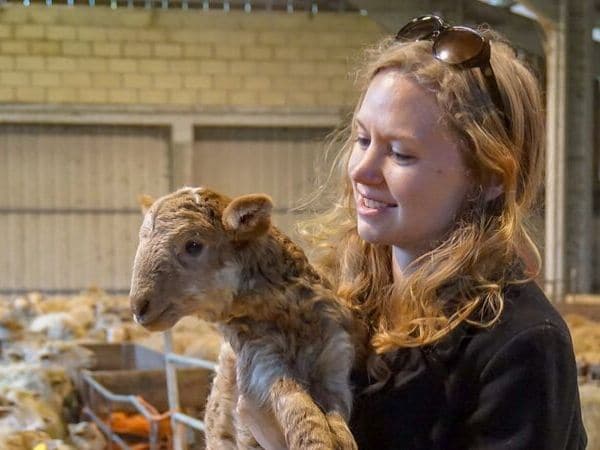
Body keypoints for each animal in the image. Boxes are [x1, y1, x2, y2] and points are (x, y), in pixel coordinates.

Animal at [131, 188, 366, 450]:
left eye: (193, 245)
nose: (137, 306)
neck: (294, 321)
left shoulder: (335, 364)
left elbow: (336, 424)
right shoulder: (262, 364)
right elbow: (303, 416)